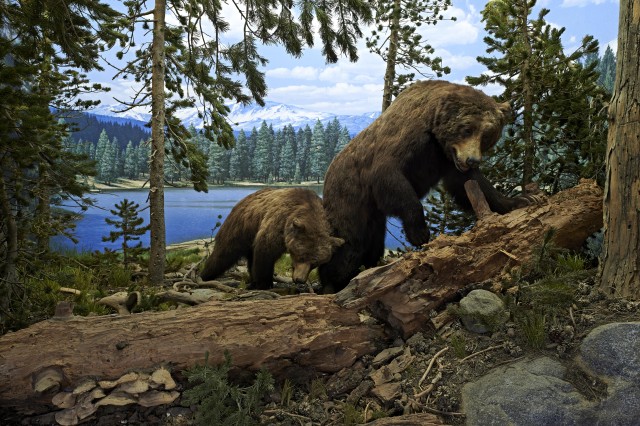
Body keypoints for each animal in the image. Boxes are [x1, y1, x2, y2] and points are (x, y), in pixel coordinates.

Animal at [200, 189, 344, 292]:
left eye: (315, 263)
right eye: (302, 256)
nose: (300, 280)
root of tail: (243, 200)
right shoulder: (278, 222)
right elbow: (265, 252)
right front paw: (265, 283)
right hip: (241, 227)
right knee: (224, 253)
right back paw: (205, 276)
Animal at [318, 80, 536, 292]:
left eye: (487, 135)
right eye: (467, 128)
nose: (472, 160)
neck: (435, 134)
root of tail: (328, 173)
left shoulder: (447, 160)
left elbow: (470, 185)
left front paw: (521, 199)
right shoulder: (403, 144)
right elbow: (390, 178)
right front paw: (419, 233)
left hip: (374, 217)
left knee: (372, 245)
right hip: (350, 198)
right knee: (350, 245)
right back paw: (331, 283)